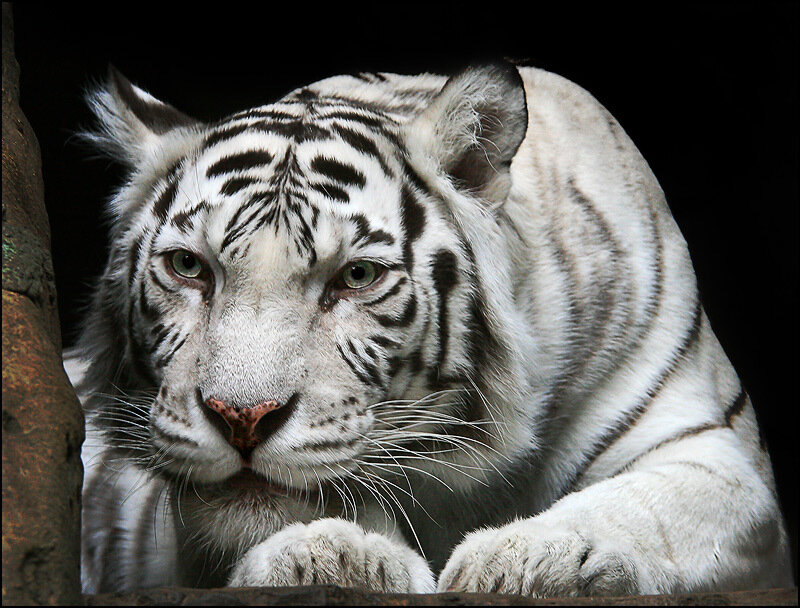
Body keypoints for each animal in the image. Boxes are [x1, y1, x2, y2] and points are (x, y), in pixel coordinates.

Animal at [66, 60, 793, 596]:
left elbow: (643, 507)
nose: (240, 418)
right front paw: (335, 552)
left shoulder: (712, 450)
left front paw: (533, 559)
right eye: (189, 267)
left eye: (356, 276)